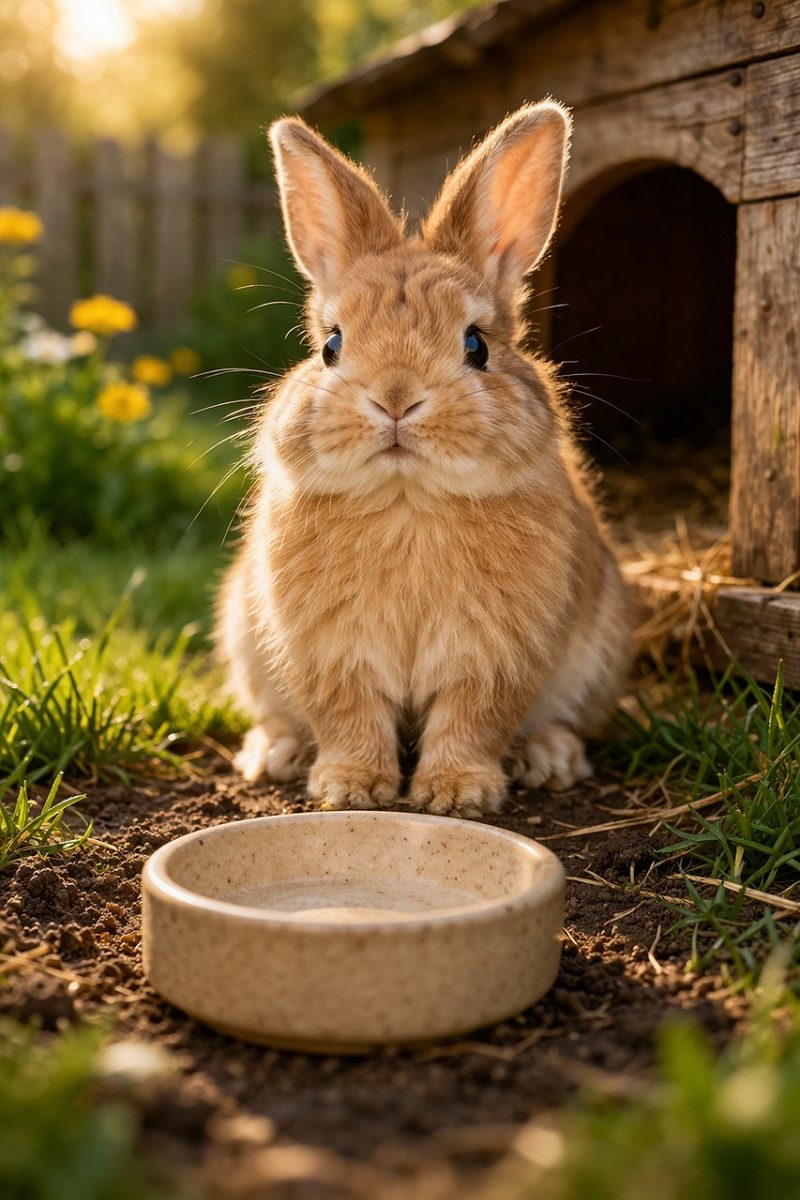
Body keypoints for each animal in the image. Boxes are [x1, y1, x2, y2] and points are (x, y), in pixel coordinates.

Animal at [216, 100, 633, 818]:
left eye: (477, 345)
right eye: (330, 345)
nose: (395, 400)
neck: (407, 498)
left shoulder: (495, 655)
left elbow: (472, 718)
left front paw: (457, 794)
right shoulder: (331, 654)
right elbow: (349, 714)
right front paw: (352, 788)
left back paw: (550, 758)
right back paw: (273, 753)